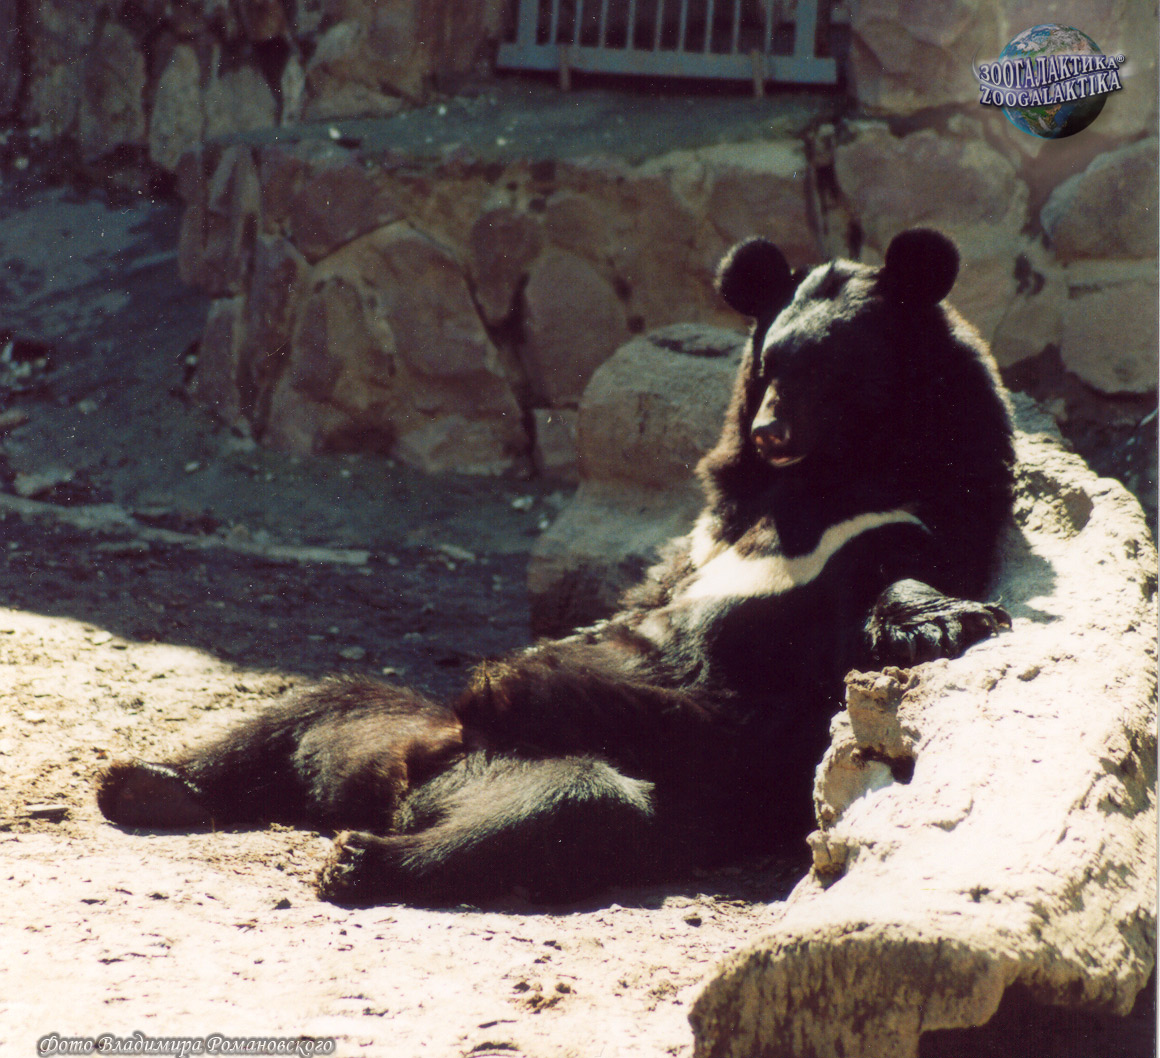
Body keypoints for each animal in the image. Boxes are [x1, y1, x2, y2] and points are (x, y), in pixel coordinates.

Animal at [96, 227, 1015, 907]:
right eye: (772, 367)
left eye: (832, 370)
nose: (771, 432)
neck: (816, 483)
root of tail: (412, 780)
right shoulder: (705, 528)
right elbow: (638, 598)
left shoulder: (906, 517)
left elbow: (879, 597)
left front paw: (950, 621)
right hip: (385, 723)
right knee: (309, 708)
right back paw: (142, 784)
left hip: (614, 767)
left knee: (575, 807)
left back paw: (357, 858)